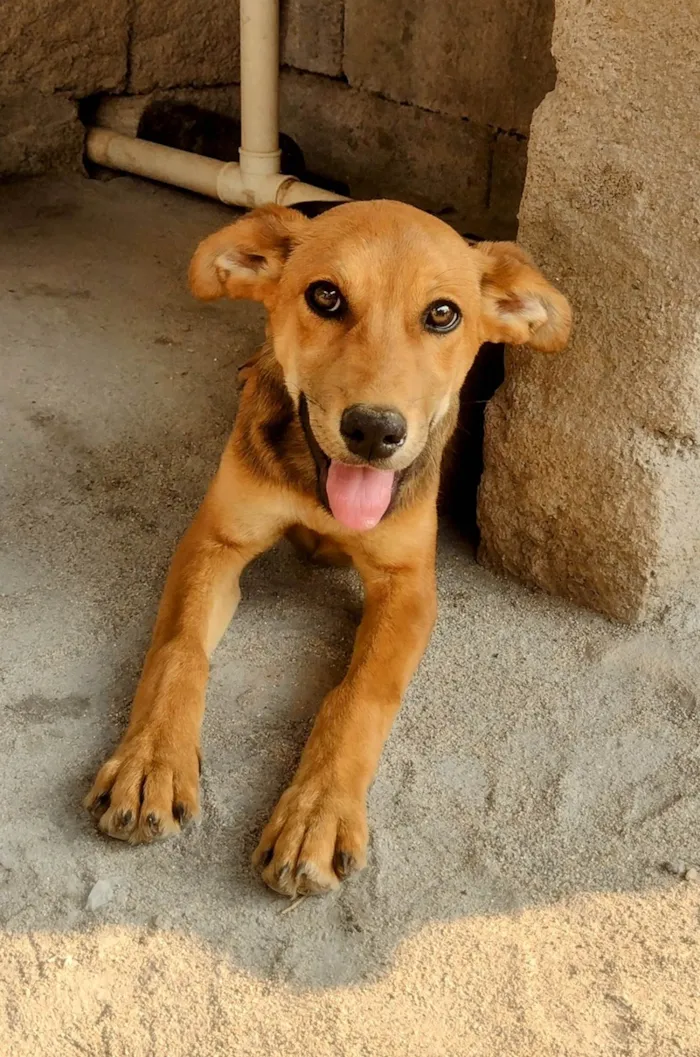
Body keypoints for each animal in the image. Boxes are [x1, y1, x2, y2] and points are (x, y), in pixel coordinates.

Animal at [86, 201, 570, 896]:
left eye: (442, 313)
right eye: (326, 296)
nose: (373, 431)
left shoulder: (408, 584)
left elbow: (359, 693)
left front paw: (317, 812)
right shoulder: (217, 539)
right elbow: (179, 648)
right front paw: (150, 761)